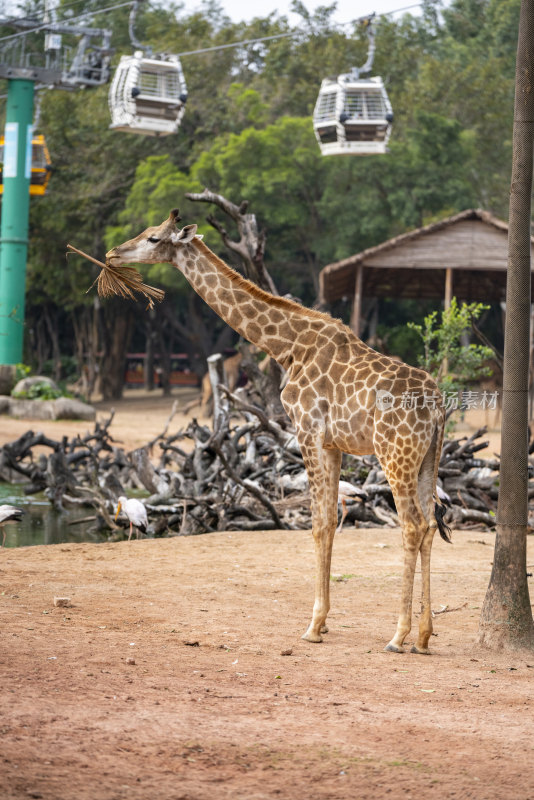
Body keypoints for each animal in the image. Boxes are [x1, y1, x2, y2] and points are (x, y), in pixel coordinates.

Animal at [108, 209, 452, 652]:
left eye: (153, 238)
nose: (114, 253)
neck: (287, 345)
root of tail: (438, 405)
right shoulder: (333, 444)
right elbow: (328, 524)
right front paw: (324, 622)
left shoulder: (308, 431)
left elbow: (318, 525)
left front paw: (314, 625)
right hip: (427, 457)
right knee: (429, 525)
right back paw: (424, 636)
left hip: (395, 455)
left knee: (411, 525)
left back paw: (398, 635)